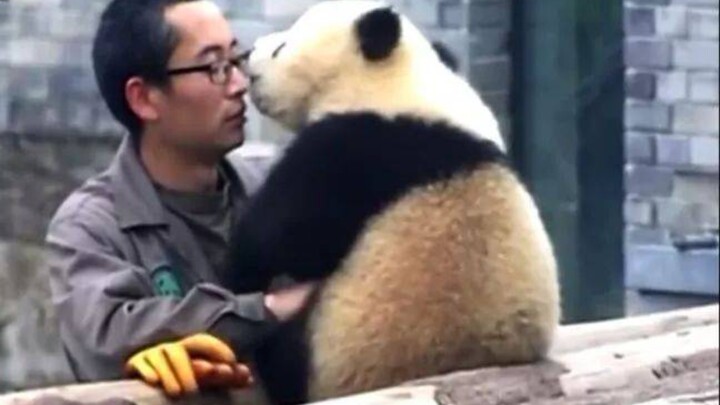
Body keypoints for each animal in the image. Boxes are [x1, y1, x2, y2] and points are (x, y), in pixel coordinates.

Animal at [223, 1, 560, 404]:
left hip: (330, 347)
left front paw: (239, 266)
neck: (397, 83)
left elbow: (281, 237)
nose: (247, 54)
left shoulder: (356, 148)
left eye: (281, 47)